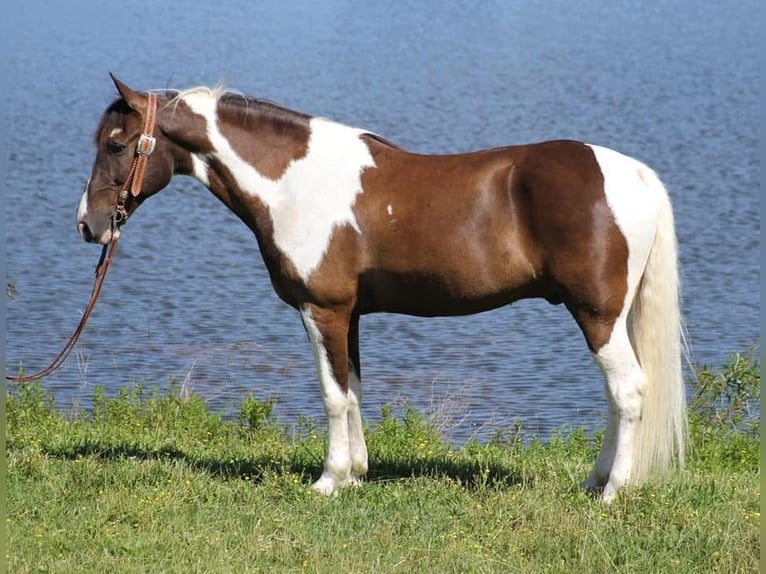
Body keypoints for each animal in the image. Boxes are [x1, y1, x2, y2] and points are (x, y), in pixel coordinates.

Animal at [78, 74, 688, 502]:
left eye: (117, 145)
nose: (88, 225)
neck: (296, 183)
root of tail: (635, 175)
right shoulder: (349, 314)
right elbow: (352, 390)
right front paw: (355, 474)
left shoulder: (321, 309)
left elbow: (331, 393)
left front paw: (327, 481)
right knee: (616, 396)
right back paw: (596, 480)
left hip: (597, 315)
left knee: (628, 392)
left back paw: (612, 492)